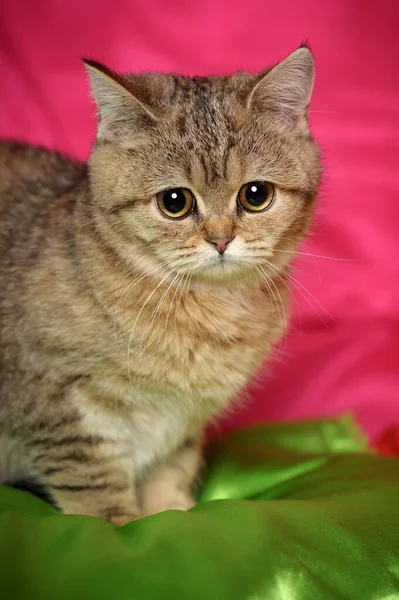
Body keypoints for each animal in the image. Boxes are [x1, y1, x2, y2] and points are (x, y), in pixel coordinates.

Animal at [0, 47, 322, 524]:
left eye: (256, 195)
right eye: (174, 202)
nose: (221, 239)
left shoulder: (182, 423)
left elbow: (169, 474)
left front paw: (172, 516)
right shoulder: (56, 400)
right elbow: (94, 489)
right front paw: (121, 528)